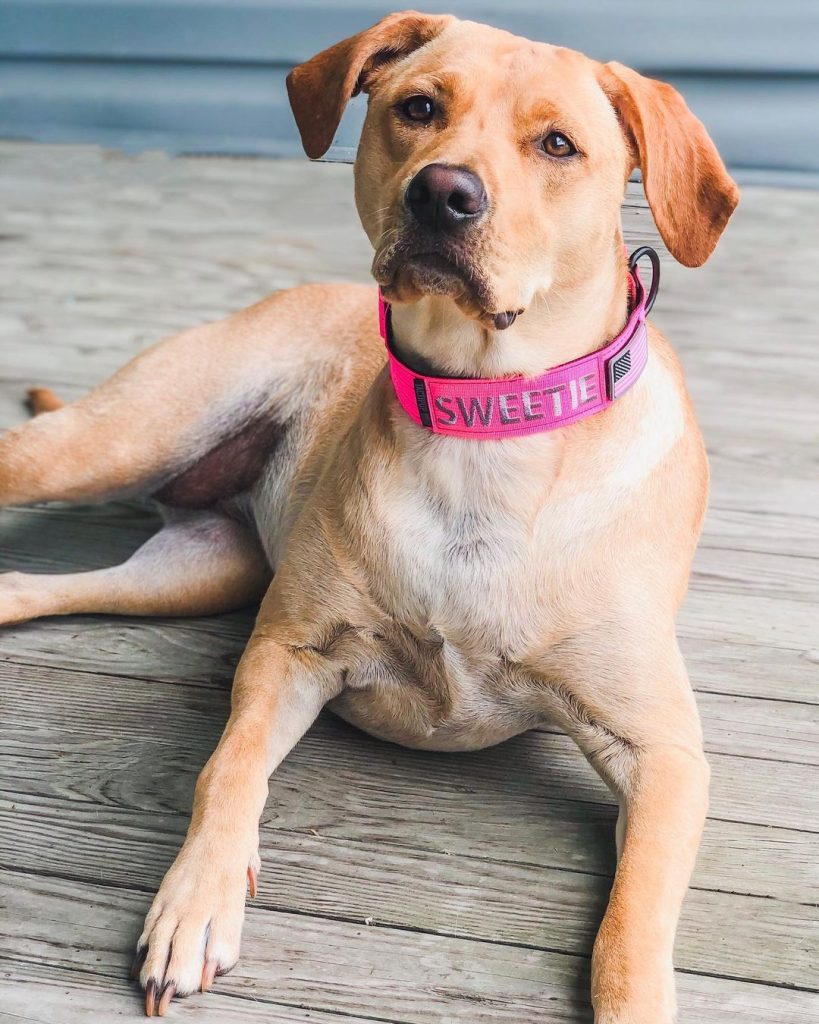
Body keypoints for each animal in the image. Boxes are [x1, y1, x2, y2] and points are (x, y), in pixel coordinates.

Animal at [0, 9, 737, 1024]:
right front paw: (196, 902)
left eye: (557, 145)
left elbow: (631, 930)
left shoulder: (661, 754)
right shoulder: (289, 651)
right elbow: (227, 769)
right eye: (417, 108)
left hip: (195, 570)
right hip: (107, 444)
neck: (483, 424)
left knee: (32, 584)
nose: (443, 194)